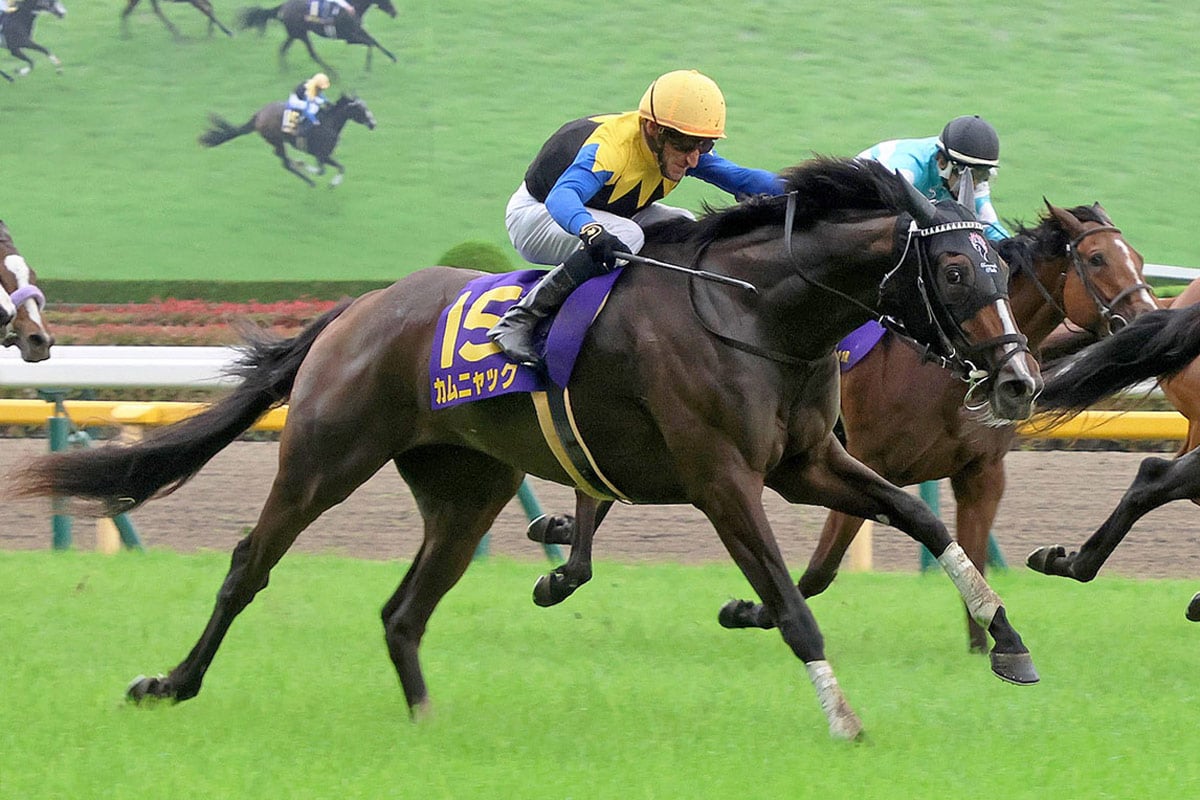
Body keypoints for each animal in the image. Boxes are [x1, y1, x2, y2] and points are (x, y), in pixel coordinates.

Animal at [8, 158, 1043, 741]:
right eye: (956, 270)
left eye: (1002, 268)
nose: (1021, 381)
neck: (759, 316)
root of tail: (357, 309)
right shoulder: (722, 480)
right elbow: (792, 607)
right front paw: (845, 721)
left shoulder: (805, 464)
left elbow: (921, 521)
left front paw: (1010, 645)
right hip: (322, 460)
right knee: (247, 567)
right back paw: (169, 684)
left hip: (465, 490)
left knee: (403, 611)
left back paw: (427, 728)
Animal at [198, 93, 376, 187]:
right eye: (361, 109)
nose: (374, 124)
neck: (329, 122)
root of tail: (258, 115)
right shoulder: (321, 155)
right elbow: (321, 170)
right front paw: (303, 164)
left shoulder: (325, 155)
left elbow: (341, 167)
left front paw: (333, 184)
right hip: (276, 139)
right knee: (284, 162)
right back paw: (308, 179)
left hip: (277, 141)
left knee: (282, 159)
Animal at [237, 0, 397, 74]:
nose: (395, 12)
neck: (351, 7)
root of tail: (283, 7)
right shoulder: (349, 37)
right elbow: (370, 43)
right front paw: (367, 70)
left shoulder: (358, 31)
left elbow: (374, 41)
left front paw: (393, 57)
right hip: (301, 34)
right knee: (312, 54)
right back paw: (332, 73)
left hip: (294, 34)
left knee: (282, 49)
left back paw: (285, 71)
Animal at [532, 201, 1158, 653]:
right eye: (1097, 260)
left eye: (1138, 256)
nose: (1150, 315)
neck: (939, 370)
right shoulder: (868, 460)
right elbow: (820, 571)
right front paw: (749, 610)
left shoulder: (981, 473)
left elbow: (971, 554)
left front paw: (986, 644)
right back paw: (564, 551)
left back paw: (560, 537)